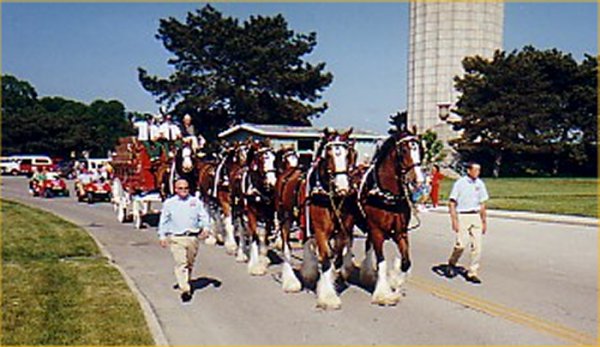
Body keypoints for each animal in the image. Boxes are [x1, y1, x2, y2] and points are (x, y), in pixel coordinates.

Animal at [358, 126, 424, 306]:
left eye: (419, 149)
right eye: (404, 150)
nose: (419, 180)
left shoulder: (401, 232)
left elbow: (406, 263)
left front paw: (397, 287)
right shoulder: (377, 231)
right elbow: (381, 262)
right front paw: (382, 294)